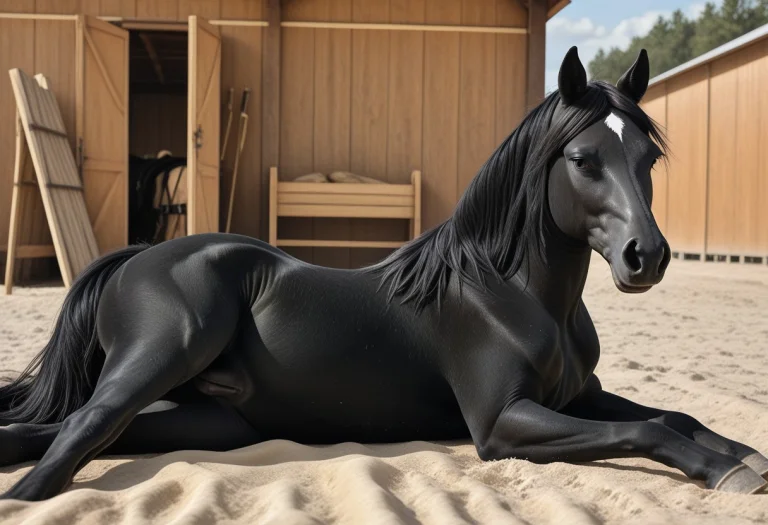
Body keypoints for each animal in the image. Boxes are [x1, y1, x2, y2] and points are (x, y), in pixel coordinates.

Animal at [1, 46, 767, 502]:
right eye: (582, 159)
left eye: (648, 157)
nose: (648, 256)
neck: (513, 295)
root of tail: (137, 256)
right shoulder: (503, 424)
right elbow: (647, 432)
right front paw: (728, 472)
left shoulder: (582, 396)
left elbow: (672, 413)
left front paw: (745, 454)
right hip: (164, 353)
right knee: (79, 431)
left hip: (211, 420)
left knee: (58, 432)